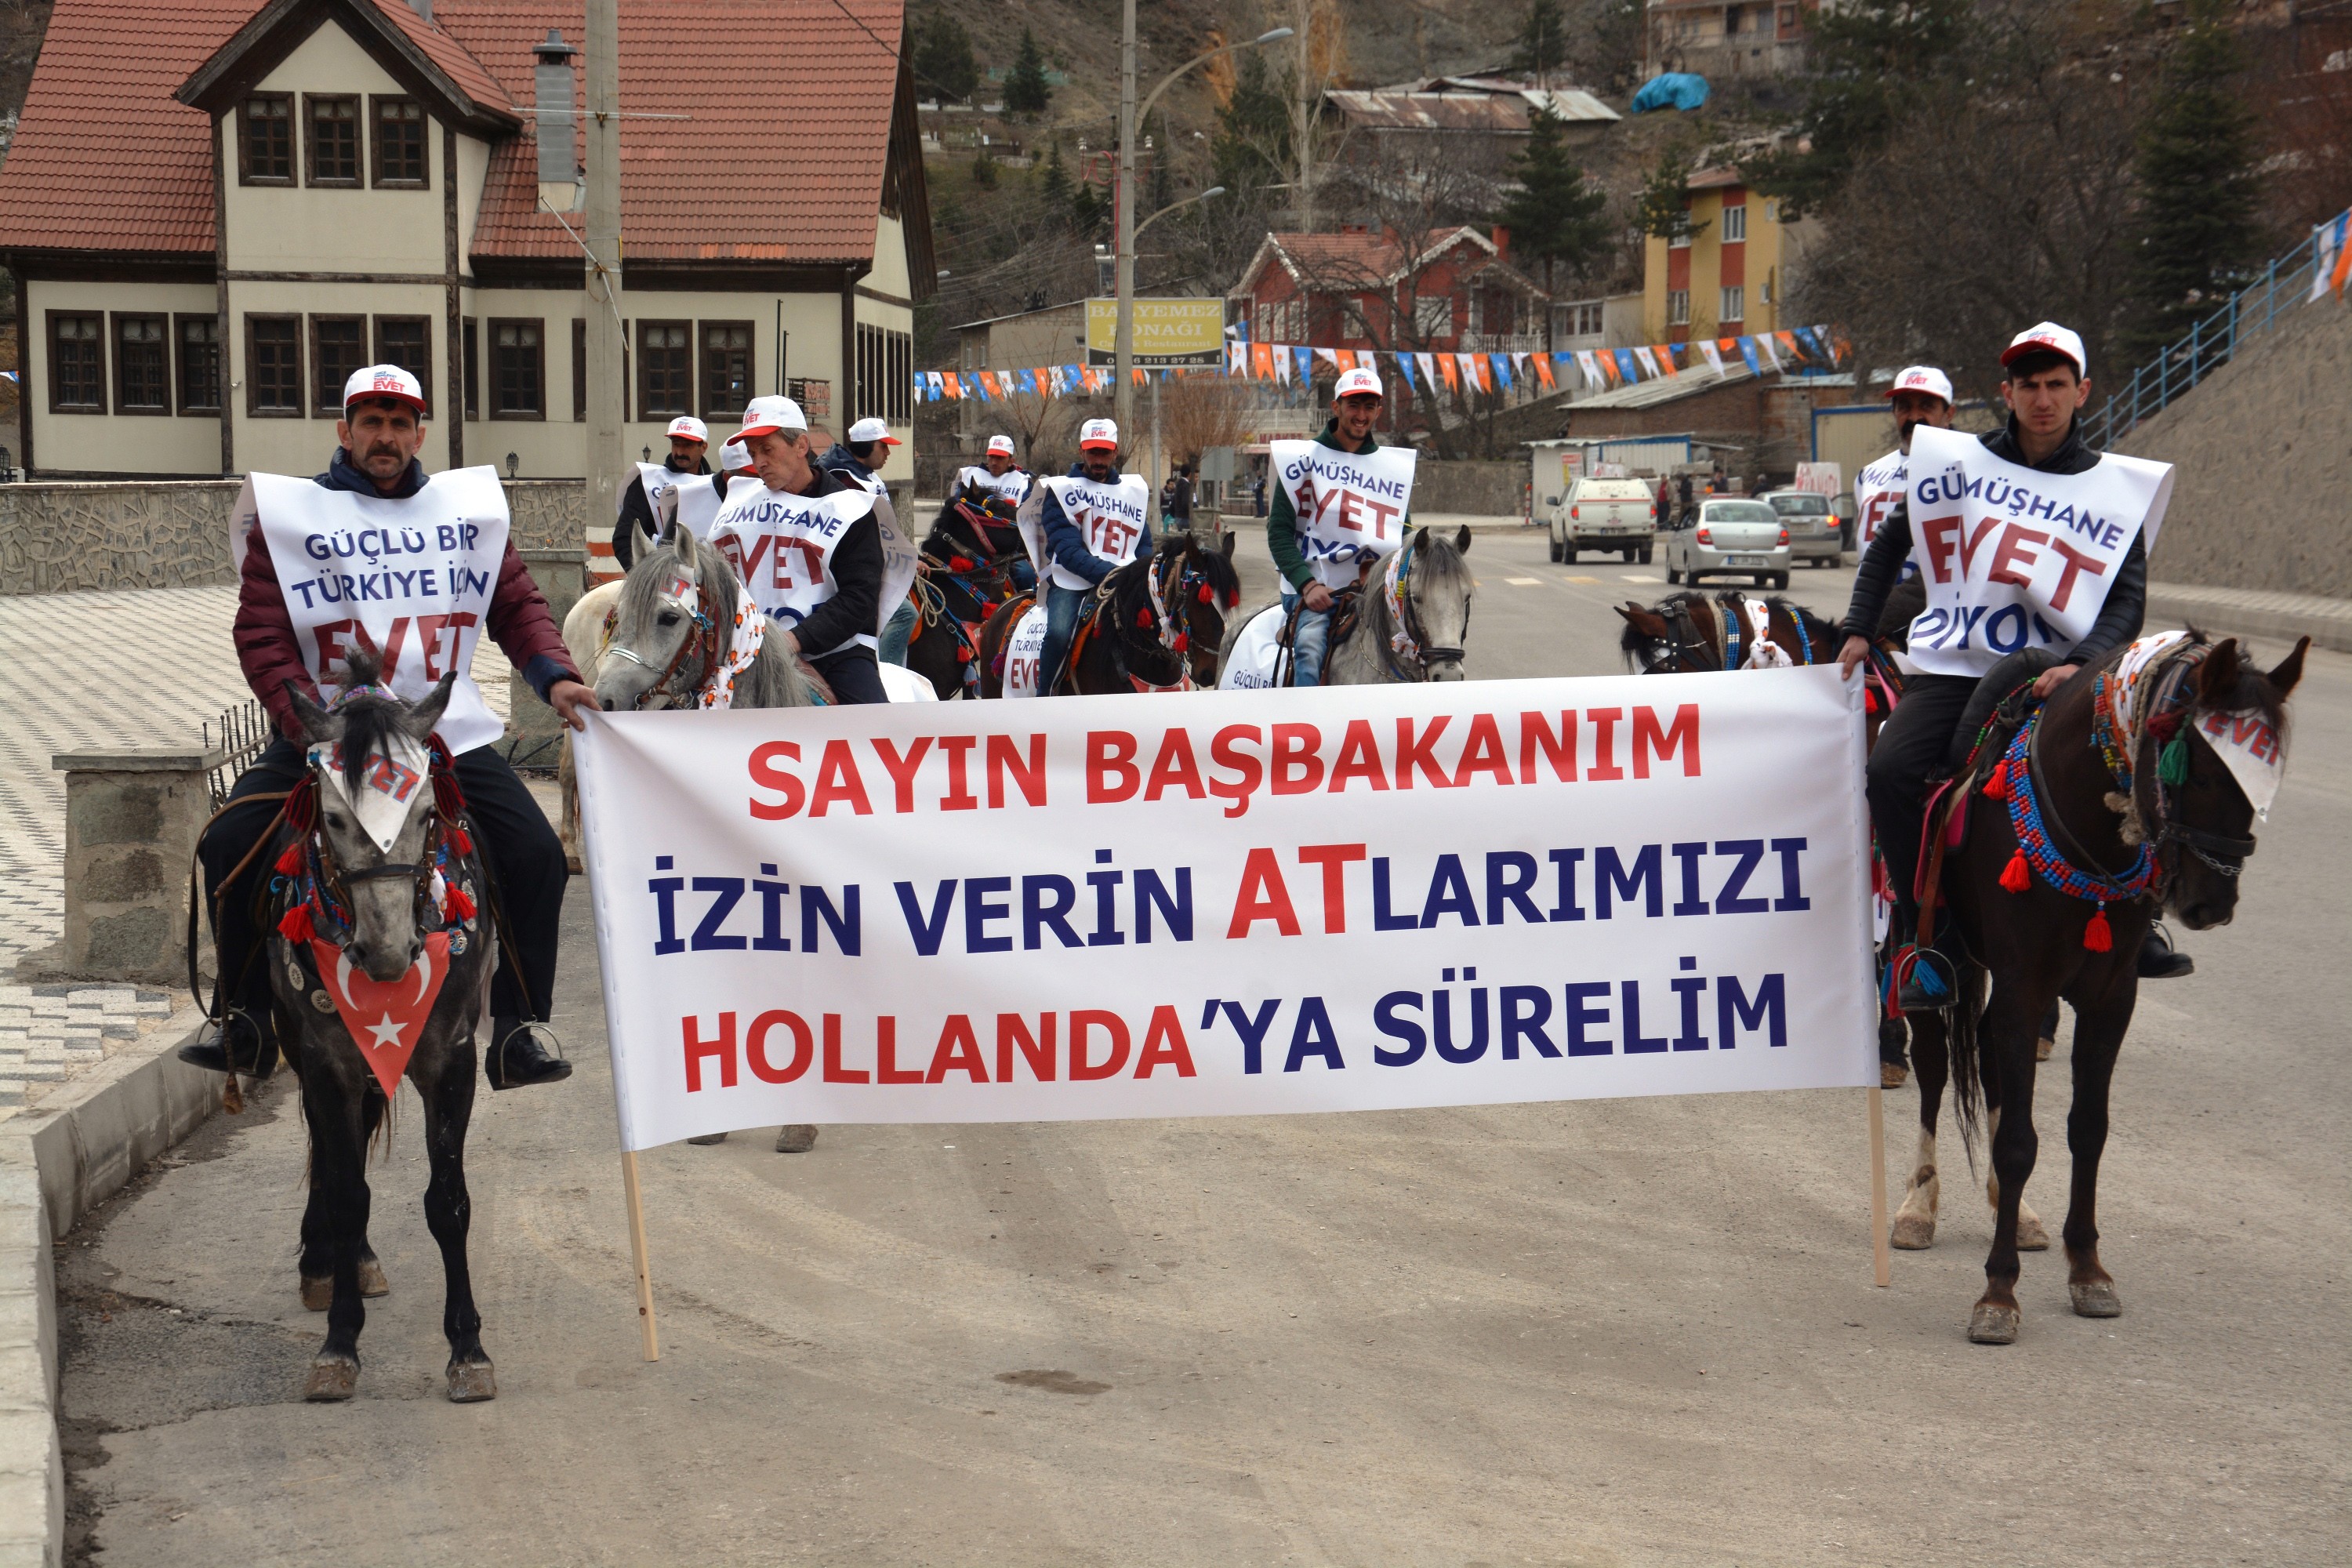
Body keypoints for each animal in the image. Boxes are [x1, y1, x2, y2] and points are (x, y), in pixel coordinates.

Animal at [1900, 630, 2305, 1345]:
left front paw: (2088, 1271)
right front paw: (1998, 1293)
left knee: (1986, 1059)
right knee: (1930, 1063)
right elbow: (2018, 1143)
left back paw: (2017, 1214)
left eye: (2266, 783)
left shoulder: (2111, 997)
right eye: (2200, 771)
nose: (2213, 901)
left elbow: (2088, 1129)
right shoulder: (2026, 987)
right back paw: (1919, 1204)